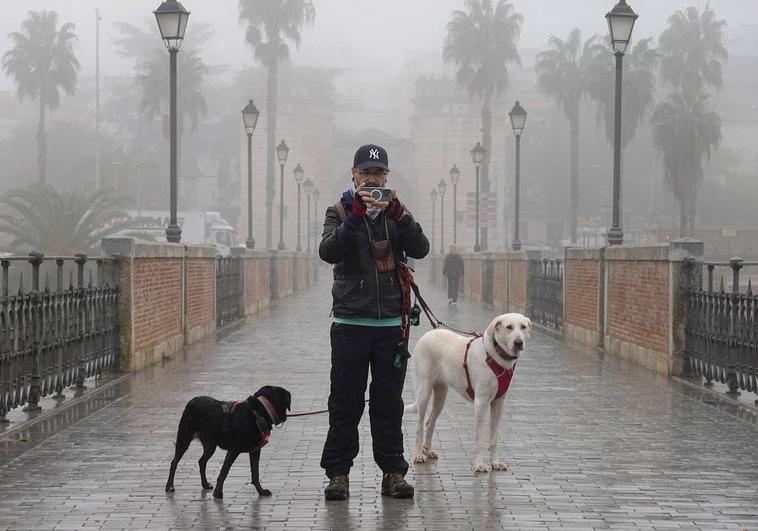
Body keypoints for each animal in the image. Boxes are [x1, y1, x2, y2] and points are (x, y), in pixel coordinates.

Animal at [406, 314, 532, 472]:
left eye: (523, 327)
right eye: (509, 327)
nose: (518, 342)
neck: (497, 355)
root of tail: (427, 335)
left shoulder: (499, 403)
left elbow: (494, 438)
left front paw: (495, 462)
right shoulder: (481, 403)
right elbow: (479, 438)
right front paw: (479, 464)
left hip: (441, 395)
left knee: (429, 423)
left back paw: (428, 451)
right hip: (424, 391)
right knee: (419, 426)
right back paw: (418, 455)